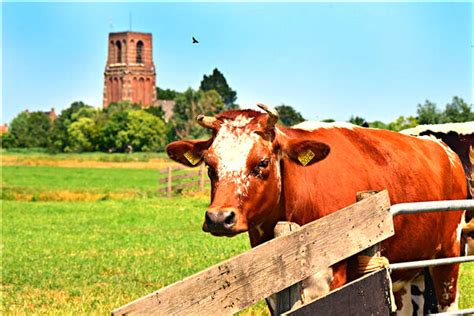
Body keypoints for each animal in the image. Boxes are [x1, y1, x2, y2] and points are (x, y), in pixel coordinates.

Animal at [167, 105, 466, 314]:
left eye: (262, 163)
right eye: (209, 166)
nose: (219, 218)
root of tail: (443, 149)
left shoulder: (336, 281)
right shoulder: (273, 290)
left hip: (449, 254)